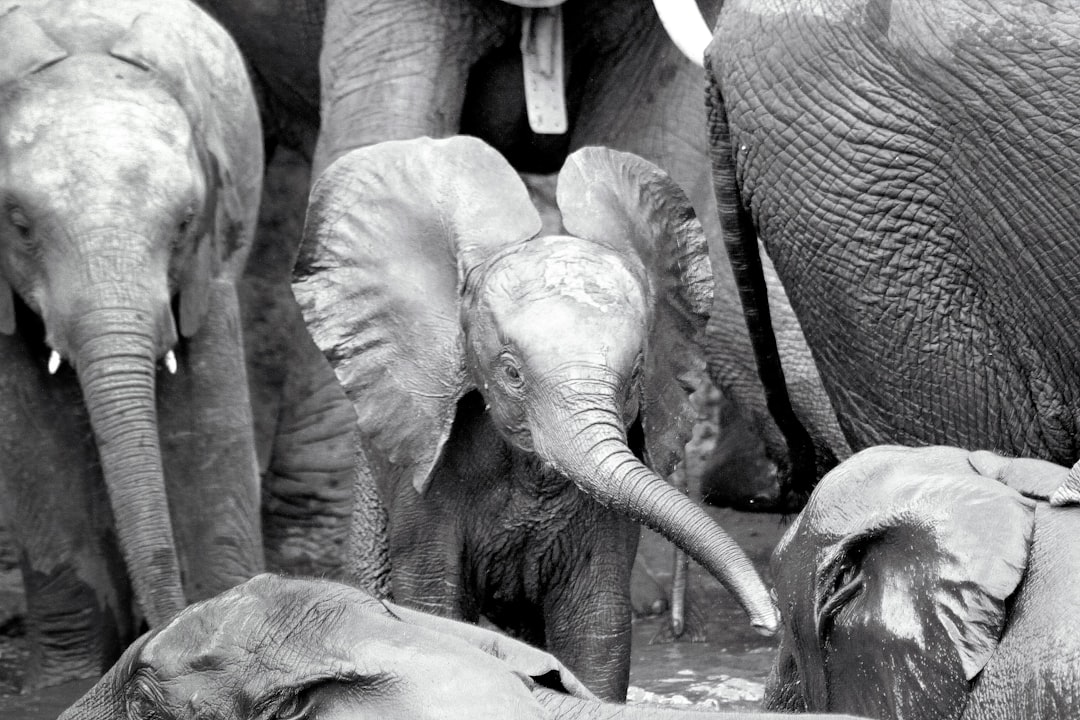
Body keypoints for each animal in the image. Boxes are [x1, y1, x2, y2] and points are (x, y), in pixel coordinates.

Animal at [0, 0, 369, 689]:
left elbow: (205, 418)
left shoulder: (210, 260)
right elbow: (31, 437)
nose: (152, 645)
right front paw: (66, 685)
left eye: (183, 223)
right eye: (19, 224)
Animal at [291, 135, 778, 701]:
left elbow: (595, 627)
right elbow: (433, 604)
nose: (768, 621)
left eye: (637, 373)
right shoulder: (426, 479)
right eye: (511, 373)